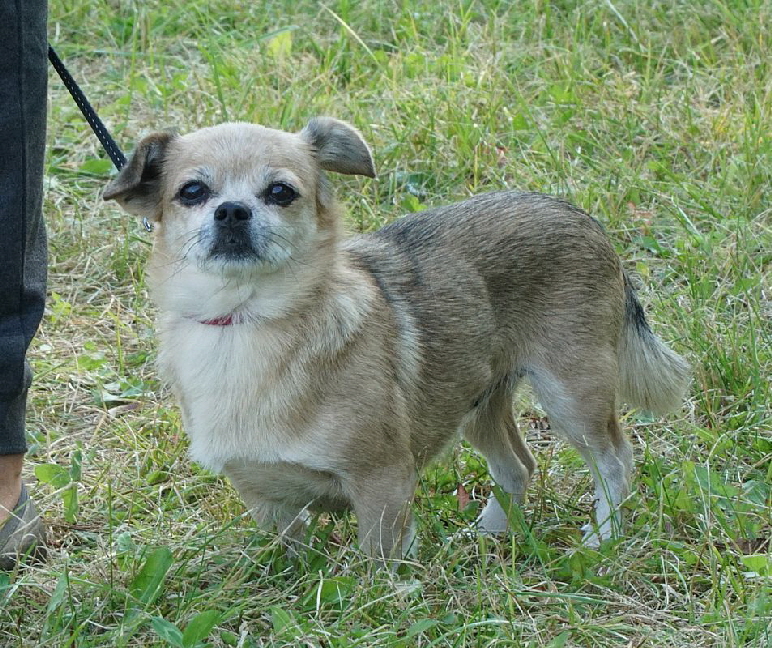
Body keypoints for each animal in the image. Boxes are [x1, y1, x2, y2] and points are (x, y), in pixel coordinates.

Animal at [105, 116, 692, 560]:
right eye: (191, 192)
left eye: (280, 192)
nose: (231, 211)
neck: (243, 323)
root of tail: (581, 216)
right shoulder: (266, 498)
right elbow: (292, 551)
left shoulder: (382, 483)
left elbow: (378, 564)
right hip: (475, 402)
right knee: (518, 466)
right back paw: (489, 534)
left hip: (572, 393)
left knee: (615, 460)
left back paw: (603, 538)